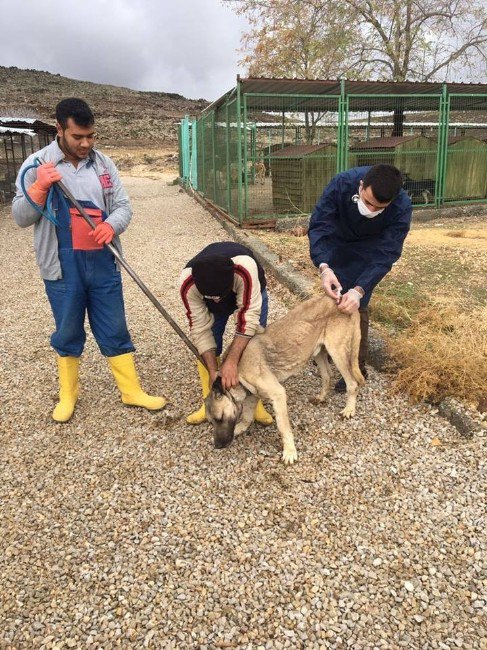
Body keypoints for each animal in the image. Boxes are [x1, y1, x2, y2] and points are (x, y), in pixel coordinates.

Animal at [205, 292, 366, 464]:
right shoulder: (252, 395)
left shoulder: (278, 394)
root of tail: (342, 297)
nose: (218, 446)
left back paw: (349, 409)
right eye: (212, 421)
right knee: (327, 375)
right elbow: (247, 417)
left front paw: (289, 451)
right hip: (319, 352)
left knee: (352, 383)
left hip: (337, 352)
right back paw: (322, 397)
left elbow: (283, 427)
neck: (238, 368)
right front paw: (240, 427)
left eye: (220, 418)